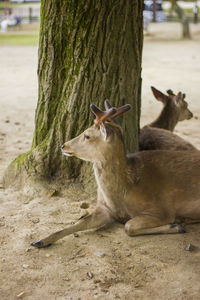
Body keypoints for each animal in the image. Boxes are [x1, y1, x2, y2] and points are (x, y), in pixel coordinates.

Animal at [31, 103, 200, 248]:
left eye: (87, 135)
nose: (63, 145)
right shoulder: (105, 208)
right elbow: (79, 222)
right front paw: (40, 241)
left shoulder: (161, 209)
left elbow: (128, 226)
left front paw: (175, 226)